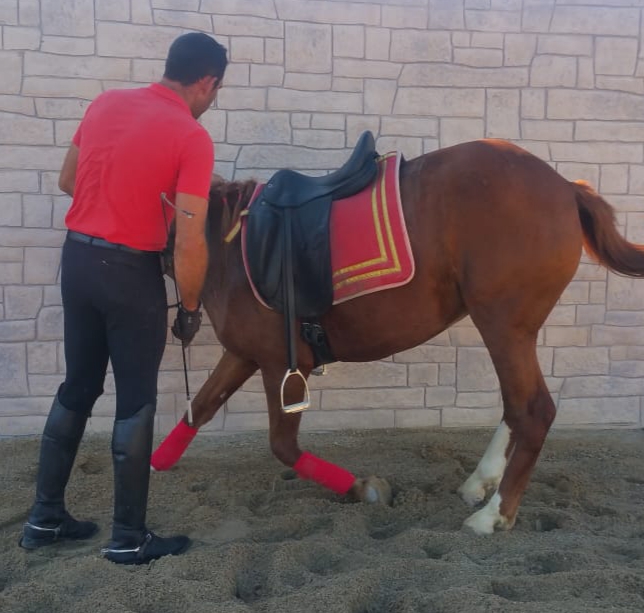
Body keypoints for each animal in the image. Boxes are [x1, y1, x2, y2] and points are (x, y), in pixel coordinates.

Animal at [152, 138, 644, 535]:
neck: (227, 245)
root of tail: (566, 187)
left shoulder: (281, 364)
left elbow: (283, 447)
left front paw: (364, 488)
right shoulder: (243, 354)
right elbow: (201, 407)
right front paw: (157, 463)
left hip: (503, 325)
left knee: (533, 410)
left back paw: (494, 516)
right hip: (512, 330)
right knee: (515, 406)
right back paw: (479, 483)